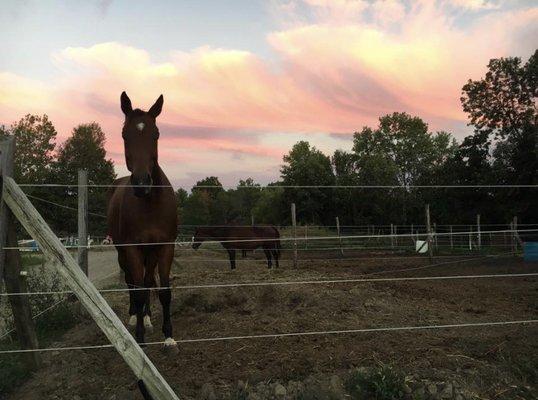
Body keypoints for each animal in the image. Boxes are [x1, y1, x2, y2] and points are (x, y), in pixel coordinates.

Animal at [107, 91, 178, 354]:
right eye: (124, 134)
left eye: (155, 134)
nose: (141, 184)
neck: (150, 204)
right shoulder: (132, 249)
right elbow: (137, 291)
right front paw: (139, 338)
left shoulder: (165, 246)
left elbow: (163, 290)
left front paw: (168, 337)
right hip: (123, 252)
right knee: (132, 283)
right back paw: (133, 317)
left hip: (151, 253)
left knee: (147, 282)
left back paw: (146, 318)